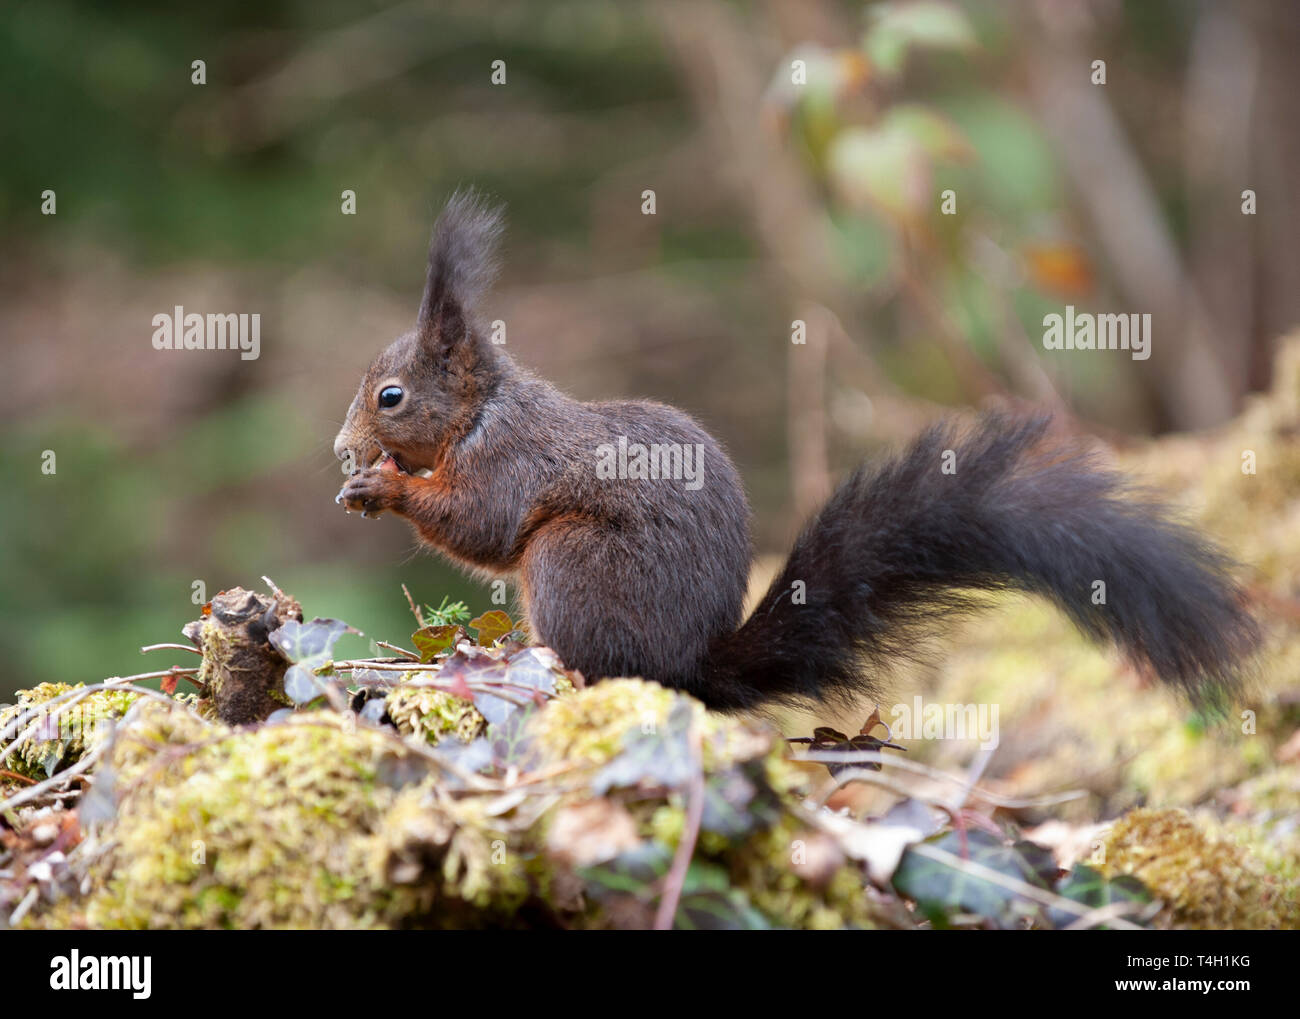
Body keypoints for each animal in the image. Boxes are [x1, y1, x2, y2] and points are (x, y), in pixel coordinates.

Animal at [335, 194, 1258, 712]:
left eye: (392, 396)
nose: (342, 448)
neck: (481, 412)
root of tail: (693, 669)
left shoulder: (512, 460)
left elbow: (480, 526)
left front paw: (385, 486)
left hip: (571, 564)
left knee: (602, 664)